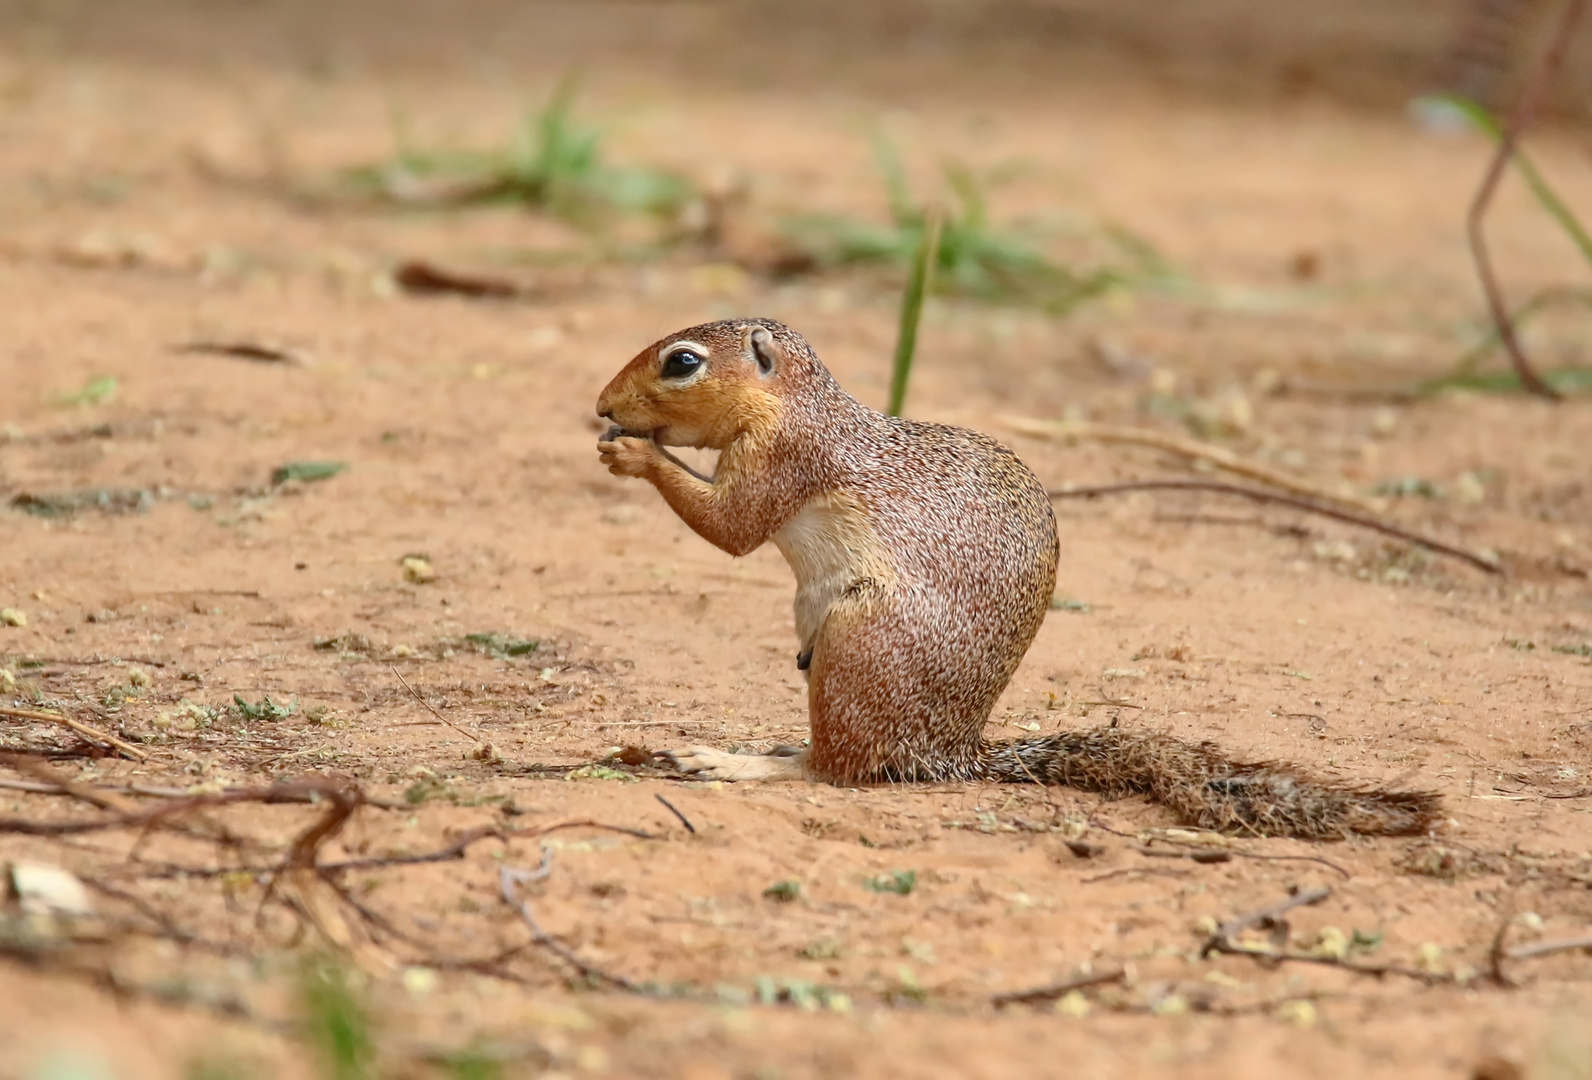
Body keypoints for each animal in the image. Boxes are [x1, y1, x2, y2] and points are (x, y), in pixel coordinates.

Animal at [598, 316, 1445, 841]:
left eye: (682, 362)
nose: (602, 404)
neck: (797, 402)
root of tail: (951, 751)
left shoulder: (787, 457)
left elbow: (734, 529)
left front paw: (634, 454)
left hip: (858, 646)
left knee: (833, 771)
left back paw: (742, 763)